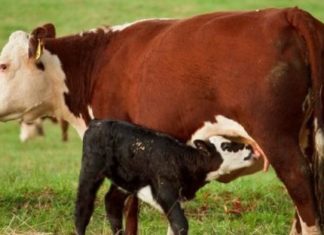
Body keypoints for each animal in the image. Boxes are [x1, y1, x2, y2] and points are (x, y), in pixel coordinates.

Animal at [75, 119, 260, 235]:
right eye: (226, 145)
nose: (251, 148)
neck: (182, 159)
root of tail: (97, 123)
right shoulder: (165, 190)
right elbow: (181, 224)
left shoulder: (179, 197)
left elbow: (173, 226)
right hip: (90, 169)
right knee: (83, 208)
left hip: (125, 179)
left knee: (111, 201)